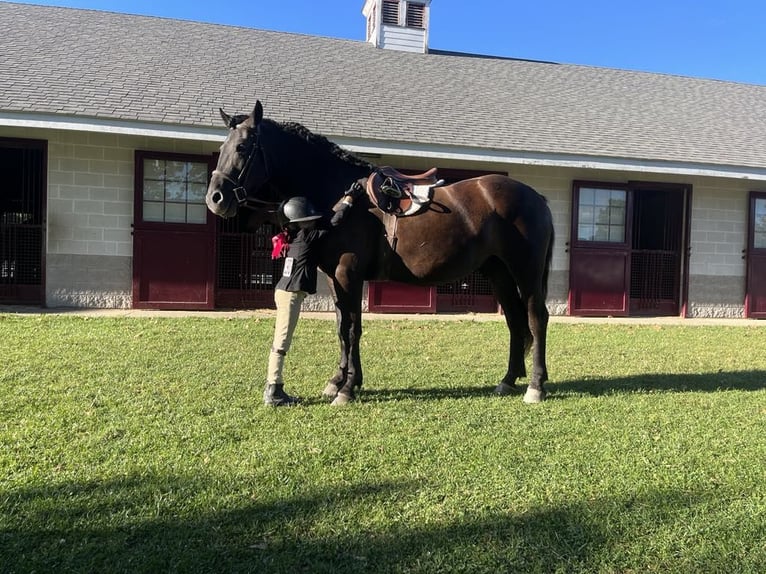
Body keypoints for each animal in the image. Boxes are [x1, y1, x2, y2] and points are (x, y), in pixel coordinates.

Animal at [206, 100, 554, 405]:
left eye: (242, 148)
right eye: (221, 150)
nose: (216, 198)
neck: (337, 192)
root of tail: (536, 197)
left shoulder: (349, 273)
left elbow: (352, 329)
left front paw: (347, 389)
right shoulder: (335, 277)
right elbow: (342, 327)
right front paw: (339, 381)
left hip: (526, 271)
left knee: (536, 318)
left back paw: (535, 387)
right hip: (499, 273)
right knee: (515, 321)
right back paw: (508, 380)